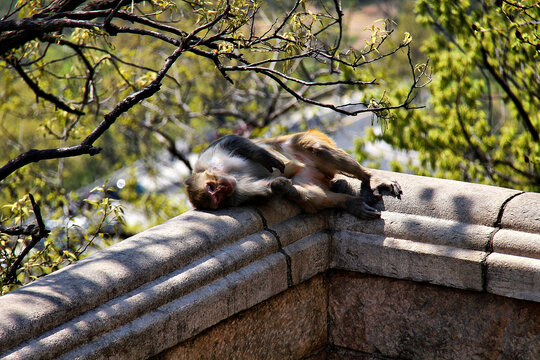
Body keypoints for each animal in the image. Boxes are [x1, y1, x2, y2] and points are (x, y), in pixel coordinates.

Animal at [186, 130, 400, 219]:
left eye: (212, 188)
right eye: (217, 198)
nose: (223, 188)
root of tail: (323, 176)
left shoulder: (209, 157)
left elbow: (234, 142)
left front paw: (269, 160)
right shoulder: (237, 196)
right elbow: (264, 191)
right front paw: (278, 186)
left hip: (300, 144)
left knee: (316, 148)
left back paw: (370, 178)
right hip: (310, 178)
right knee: (312, 195)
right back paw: (349, 203)